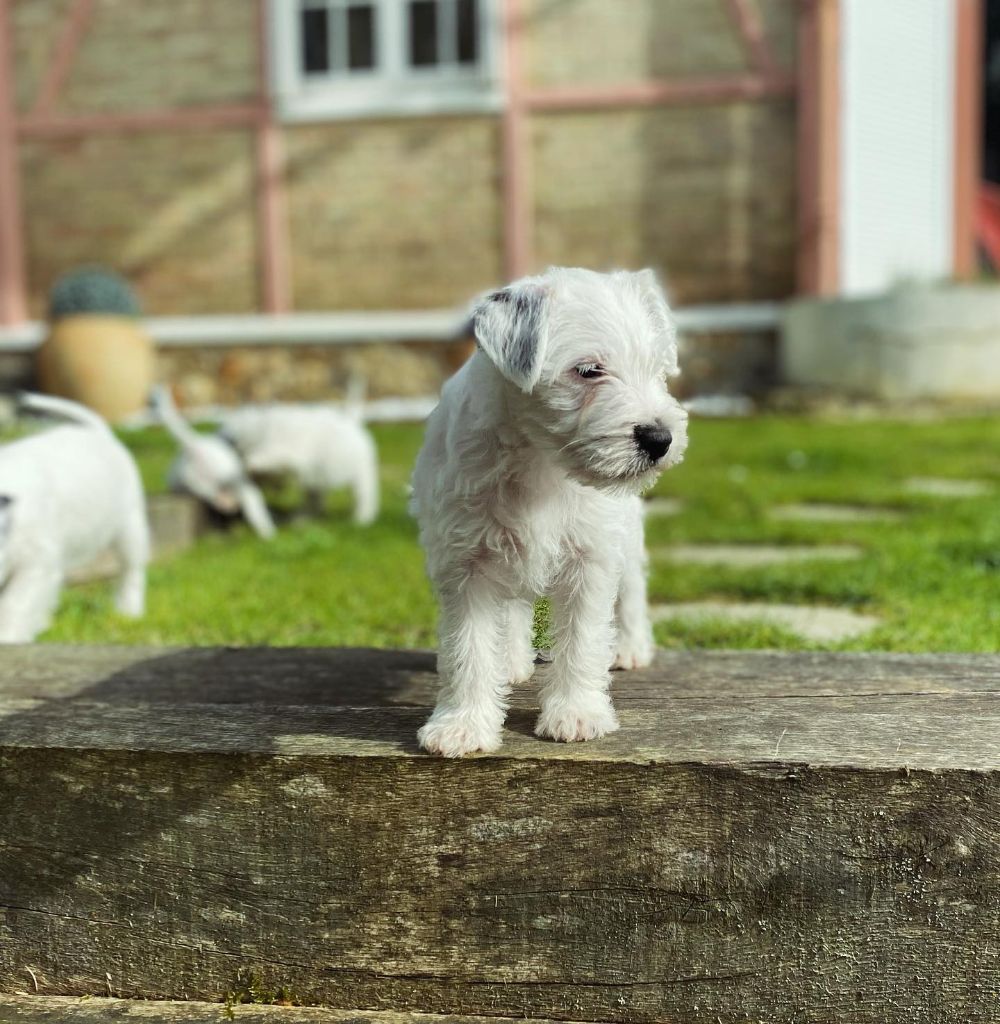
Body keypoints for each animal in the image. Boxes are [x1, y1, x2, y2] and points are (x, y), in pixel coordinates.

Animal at [0, 391, 150, 638]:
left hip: (130, 525)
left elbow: (16, 603)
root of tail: (99, 433)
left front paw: (10, 636)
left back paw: (129, 612)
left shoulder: (37, 562)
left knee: (132, 571)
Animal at [221, 389, 378, 528]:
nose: (227, 439)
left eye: (234, 428)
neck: (265, 429)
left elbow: (269, 458)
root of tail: (354, 424)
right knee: (315, 503)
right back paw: (301, 520)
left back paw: (362, 520)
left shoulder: (288, 455)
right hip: (315, 480)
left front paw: (251, 462)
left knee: (365, 496)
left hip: (361, 474)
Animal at [411, 268, 687, 757]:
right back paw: (511, 660)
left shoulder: (590, 557)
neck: (539, 462)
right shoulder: (465, 562)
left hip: (627, 535)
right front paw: (462, 725)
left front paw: (576, 714)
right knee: (515, 606)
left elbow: (582, 639)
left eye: (657, 371)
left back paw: (630, 647)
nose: (660, 439)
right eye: (589, 370)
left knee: (632, 588)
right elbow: (468, 648)